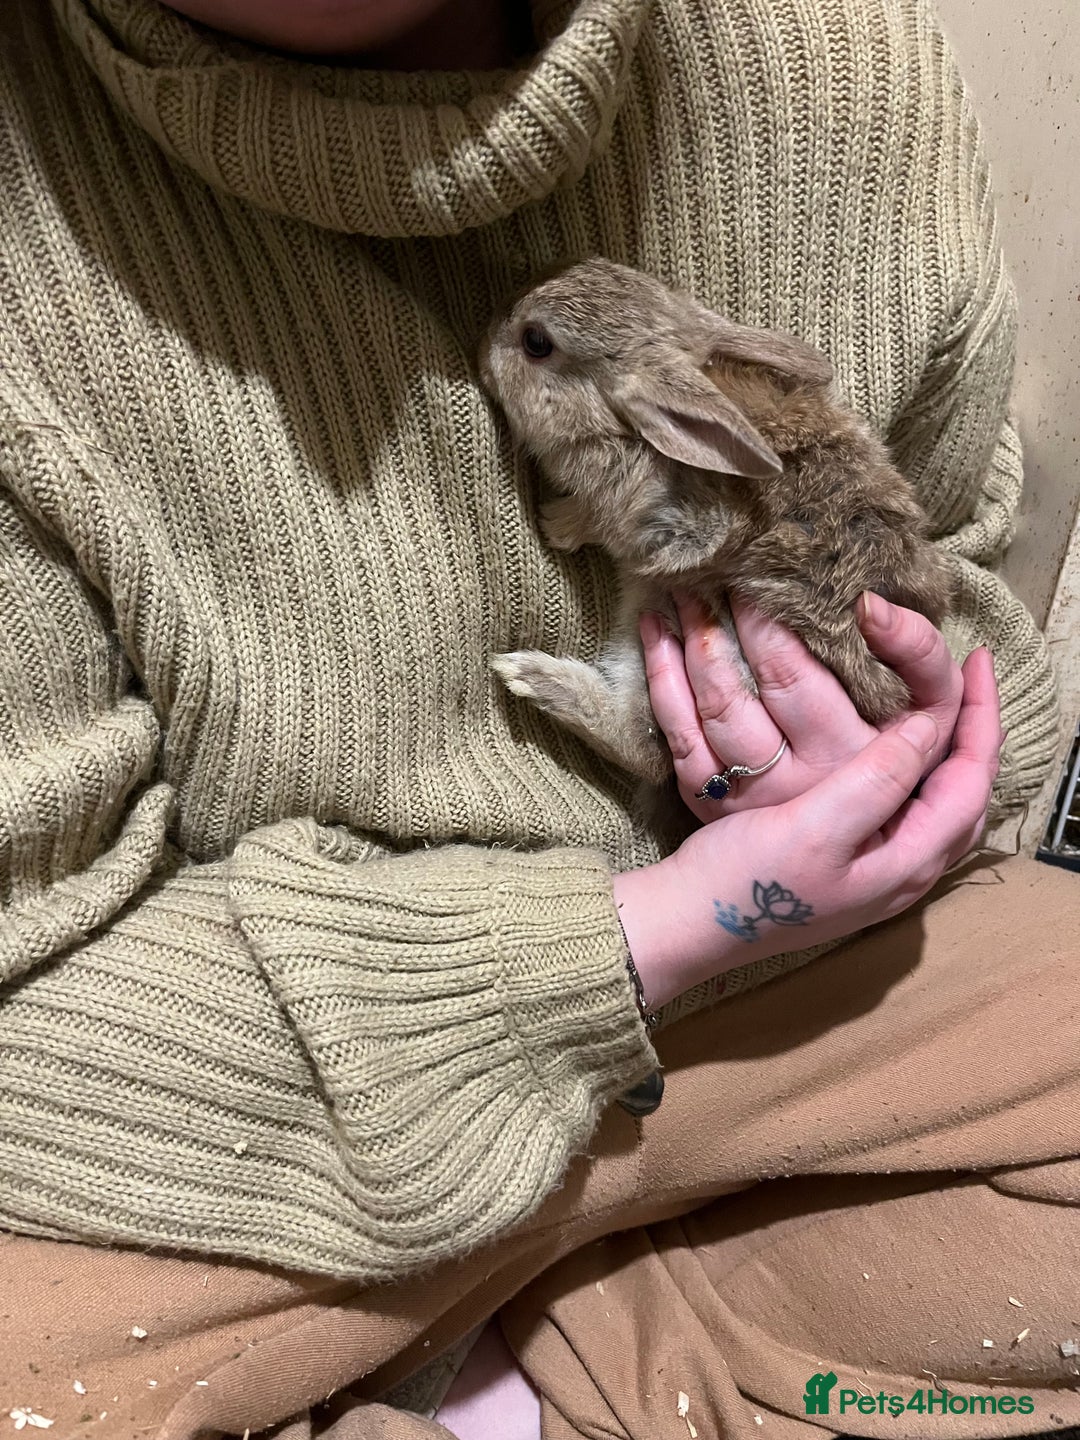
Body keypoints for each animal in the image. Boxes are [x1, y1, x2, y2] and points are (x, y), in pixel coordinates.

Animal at [478, 257, 953, 791]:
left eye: (536, 342)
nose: (483, 342)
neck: (626, 430)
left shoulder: (682, 519)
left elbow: (623, 527)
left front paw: (554, 524)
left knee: (644, 748)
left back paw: (527, 674)